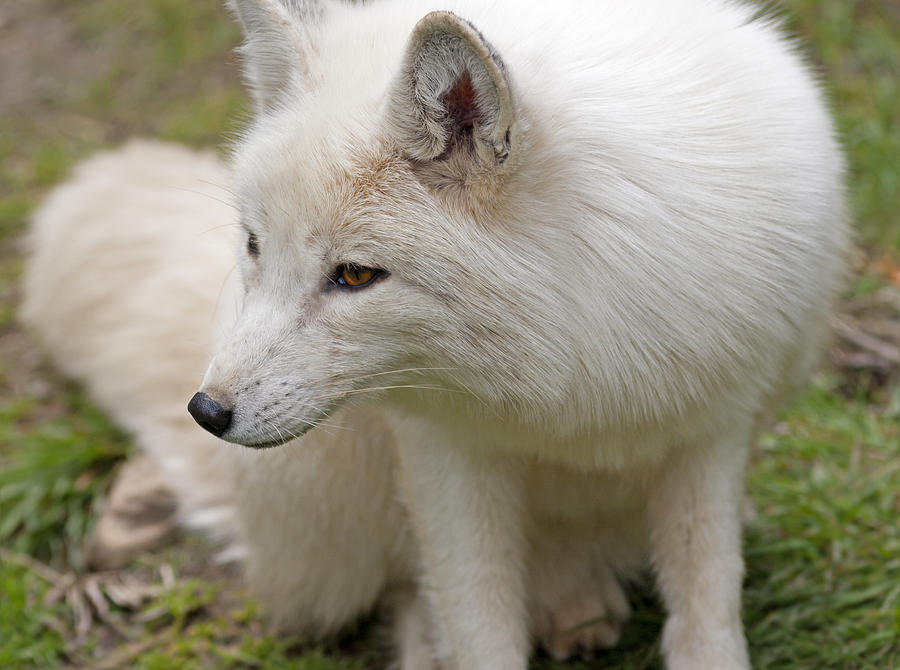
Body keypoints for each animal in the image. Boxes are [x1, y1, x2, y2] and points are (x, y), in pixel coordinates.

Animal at [22, 0, 852, 668]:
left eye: (356, 275)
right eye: (255, 245)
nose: (207, 411)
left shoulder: (711, 429)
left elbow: (708, 607)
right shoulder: (444, 452)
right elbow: (476, 627)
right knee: (409, 602)